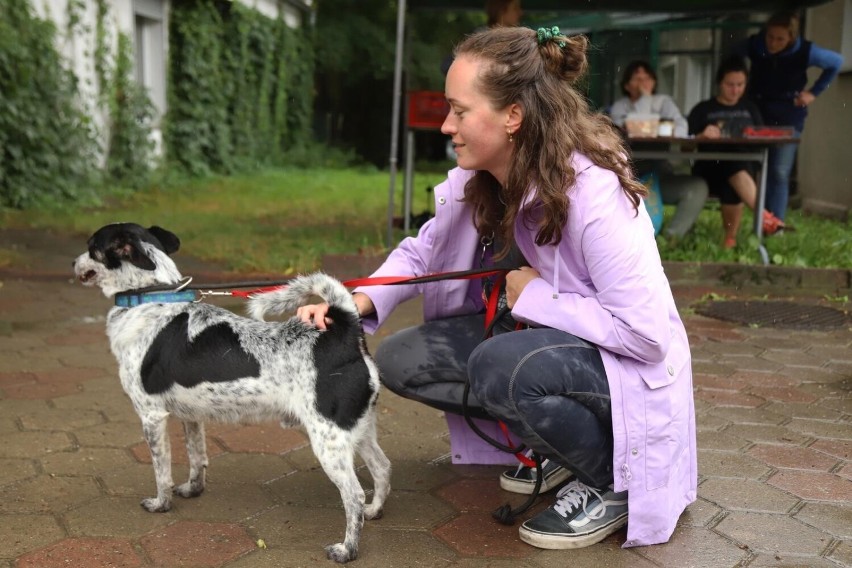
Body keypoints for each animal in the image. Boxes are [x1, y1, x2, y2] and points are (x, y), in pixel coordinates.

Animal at [73, 223, 392, 564]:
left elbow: (161, 471)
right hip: (357, 430)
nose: (72, 263)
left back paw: (347, 549)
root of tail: (346, 333)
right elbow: (196, 456)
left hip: (328, 440)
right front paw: (192, 489)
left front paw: (161, 504)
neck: (150, 298)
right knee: (382, 468)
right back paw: (373, 510)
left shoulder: (151, 415)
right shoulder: (191, 416)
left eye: (92, 247)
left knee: (353, 494)